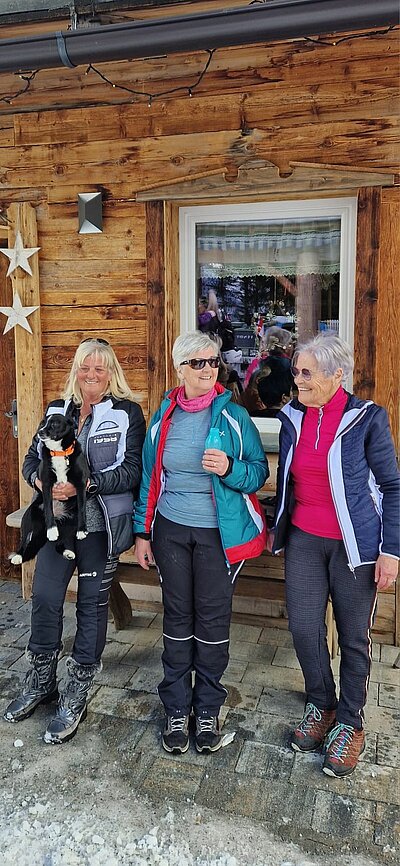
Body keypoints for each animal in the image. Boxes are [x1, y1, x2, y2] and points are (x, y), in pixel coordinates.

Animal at [10, 414, 90, 564]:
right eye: (42, 423)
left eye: (55, 424)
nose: (40, 432)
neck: (59, 452)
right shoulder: (46, 484)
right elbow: (48, 508)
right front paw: (52, 530)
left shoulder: (81, 484)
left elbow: (82, 508)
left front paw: (82, 530)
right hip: (29, 521)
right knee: (23, 543)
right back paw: (18, 556)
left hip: (70, 522)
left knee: (59, 543)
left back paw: (67, 552)